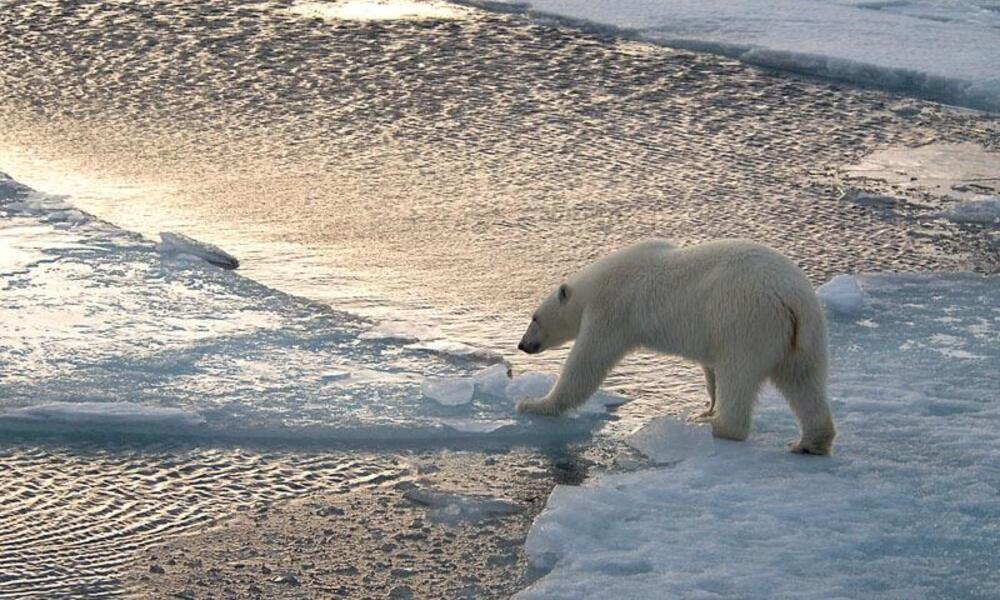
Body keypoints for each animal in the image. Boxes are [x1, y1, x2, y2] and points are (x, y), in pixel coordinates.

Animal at [516, 239, 836, 454]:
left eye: (534, 318)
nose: (522, 345)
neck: (597, 283)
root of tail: (792, 300)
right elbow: (710, 368)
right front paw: (706, 406)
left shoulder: (613, 310)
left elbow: (587, 362)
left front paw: (533, 403)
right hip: (805, 336)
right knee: (803, 381)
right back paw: (810, 442)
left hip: (748, 323)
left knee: (739, 375)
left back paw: (719, 427)